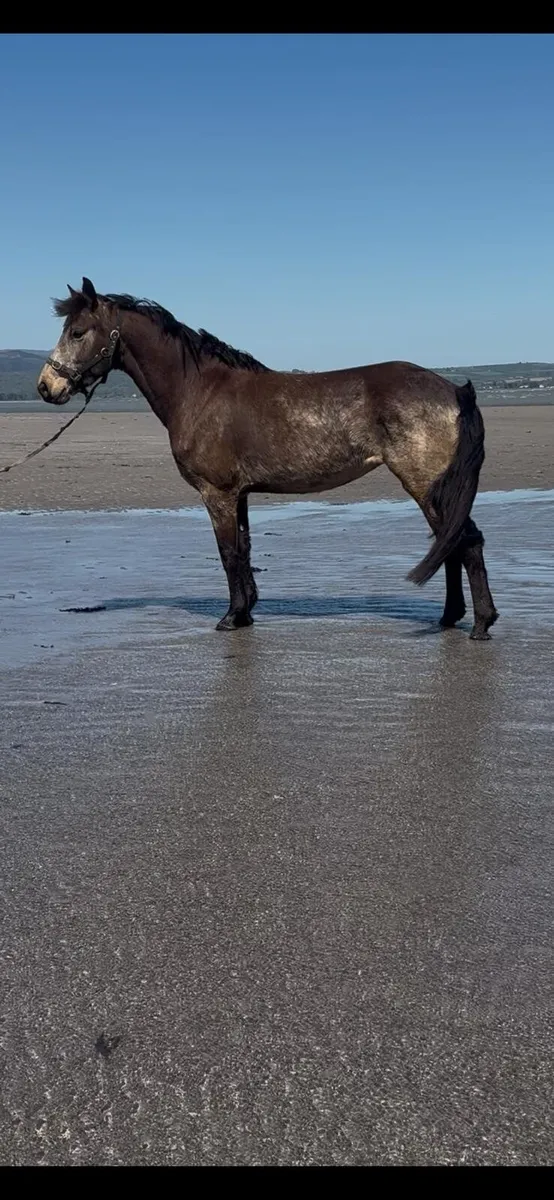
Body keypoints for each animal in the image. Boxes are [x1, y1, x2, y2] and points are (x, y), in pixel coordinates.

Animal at [37, 277, 498, 639]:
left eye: (77, 332)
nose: (46, 387)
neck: (199, 391)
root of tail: (454, 389)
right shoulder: (239, 493)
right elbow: (244, 550)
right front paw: (246, 613)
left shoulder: (217, 493)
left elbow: (228, 553)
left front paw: (230, 617)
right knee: (451, 542)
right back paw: (450, 618)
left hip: (427, 485)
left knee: (465, 541)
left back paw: (480, 624)